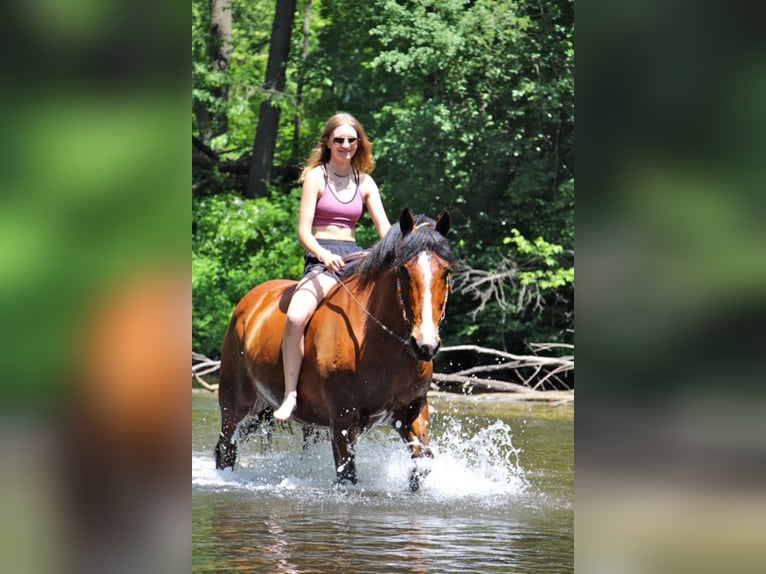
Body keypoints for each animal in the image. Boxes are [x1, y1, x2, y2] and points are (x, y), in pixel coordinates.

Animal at [216, 209, 452, 492]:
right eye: (404, 271)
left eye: (446, 272)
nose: (425, 344)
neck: (380, 346)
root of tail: (249, 302)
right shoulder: (342, 420)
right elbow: (347, 474)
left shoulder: (411, 409)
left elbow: (422, 461)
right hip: (235, 405)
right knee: (226, 449)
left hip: (266, 411)